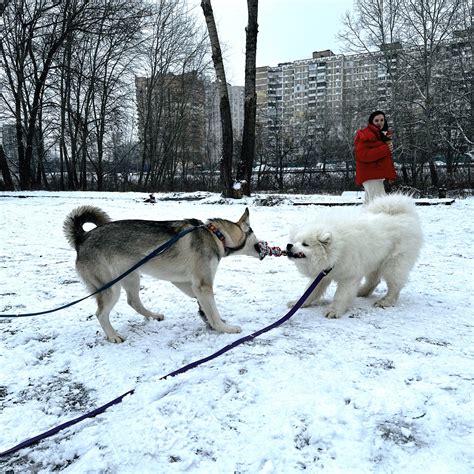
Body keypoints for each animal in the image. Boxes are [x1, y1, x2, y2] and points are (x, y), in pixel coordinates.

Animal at [286, 193, 424, 318]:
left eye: (305, 244)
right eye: (295, 241)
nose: (288, 245)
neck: (337, 252)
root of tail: (406, 215)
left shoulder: (349, 276)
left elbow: (340, 295)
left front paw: (334, 311)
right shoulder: (323, 275)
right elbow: (310, 292)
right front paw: (297, 303)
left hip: (393, 264)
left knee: (394, 285)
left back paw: (385, 301)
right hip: (374, 260)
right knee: (374, 280)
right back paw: (362, 292)